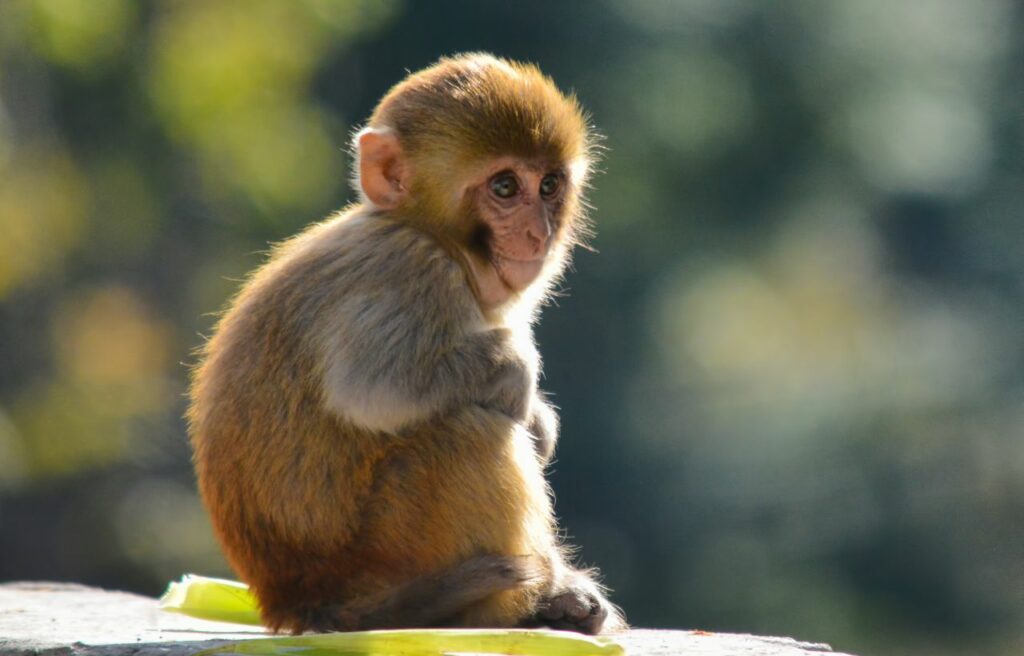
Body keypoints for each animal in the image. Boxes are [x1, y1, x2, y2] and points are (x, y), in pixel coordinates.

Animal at [188, 53, 623, 636]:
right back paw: (510, 604)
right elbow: (375, 390)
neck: (435, 237)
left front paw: (540, 417)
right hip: (389, 550)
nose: (538, 233)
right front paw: (520, 384)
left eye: (549, 185)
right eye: (506, 188)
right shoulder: (411, 270)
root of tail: (299, 600)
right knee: (468, 431)